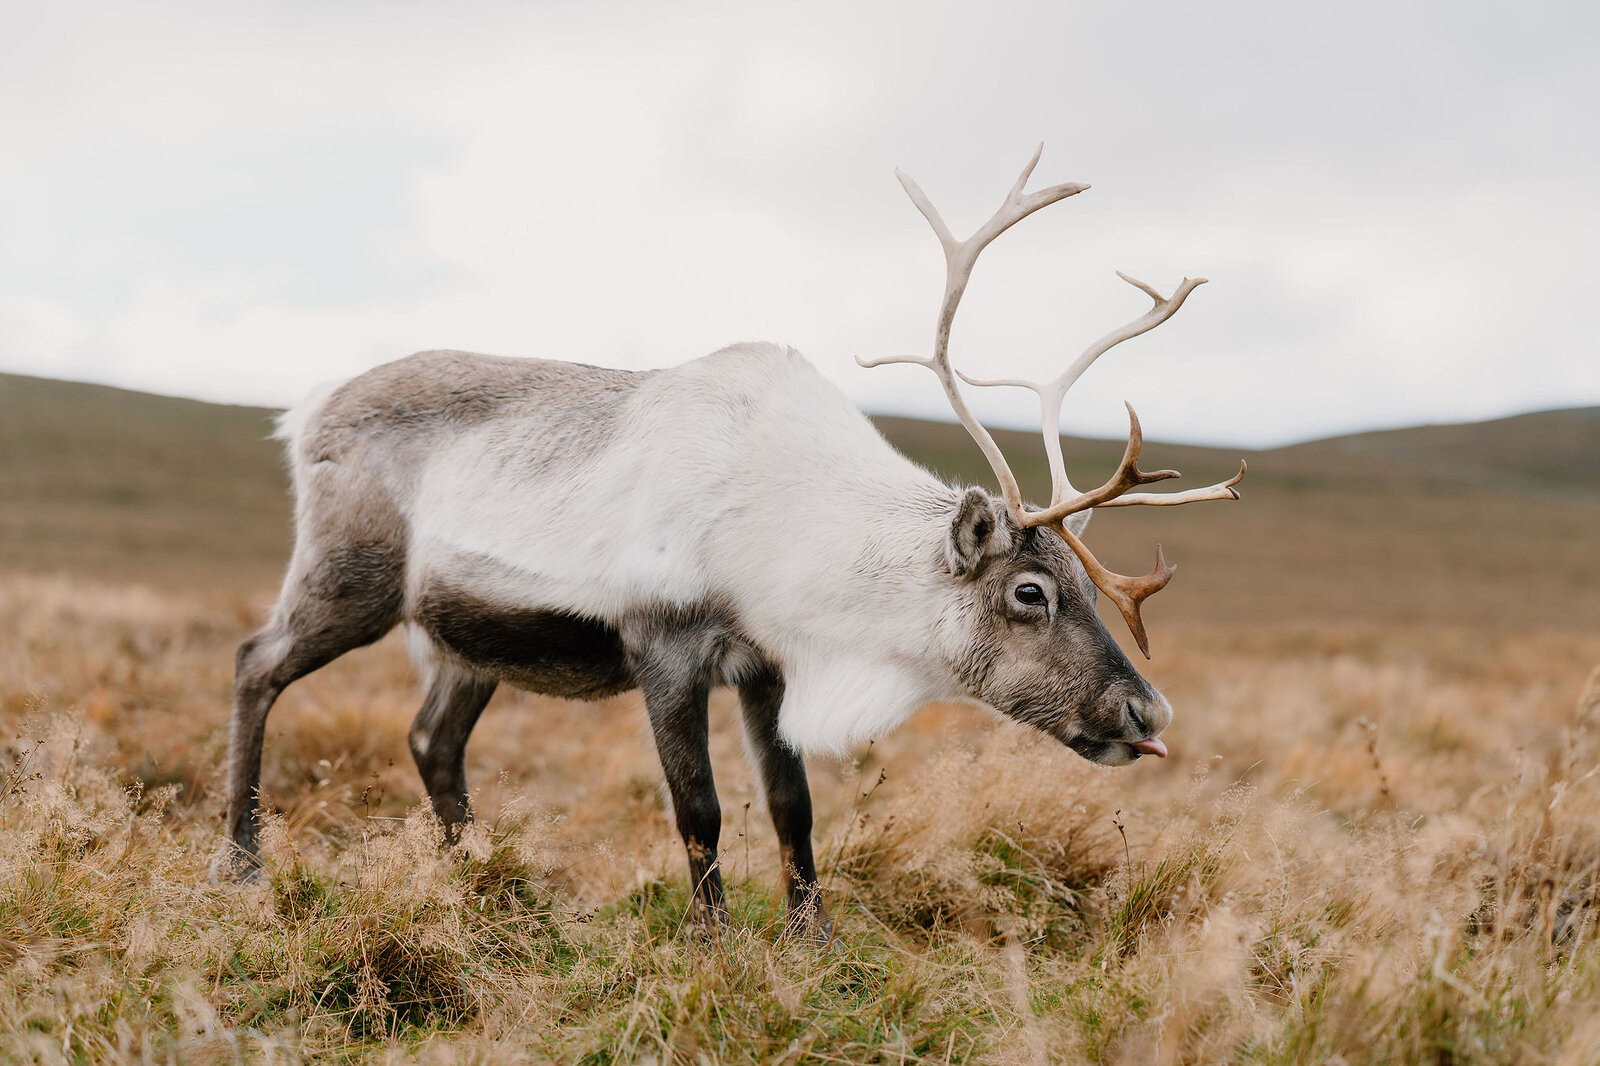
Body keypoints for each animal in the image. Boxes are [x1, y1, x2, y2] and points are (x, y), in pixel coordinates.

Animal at [213, 146, 1245, 941]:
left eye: (1087, 582)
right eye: (1030, 591)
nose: (1147, 710)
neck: (787, 531)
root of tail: (305, 409)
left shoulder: (766, 665)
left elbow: (793, 805)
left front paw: (814, 941)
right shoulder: (665, 646)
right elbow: (700, 808)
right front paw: (712, 944)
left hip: (466, 637)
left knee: (432, 741)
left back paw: (481, 888)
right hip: (350, 579)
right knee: (256, 661)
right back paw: (242, 863)